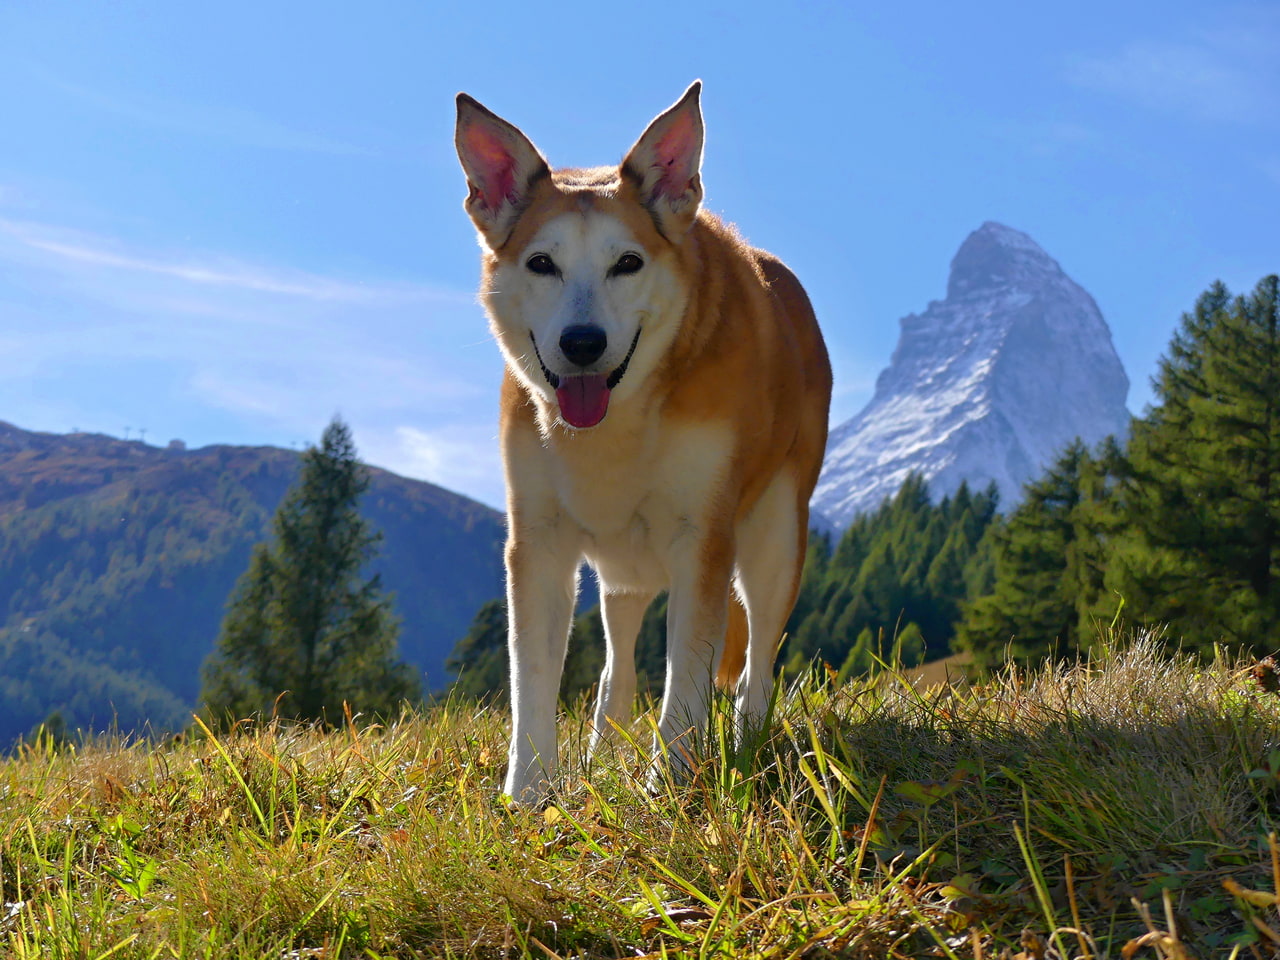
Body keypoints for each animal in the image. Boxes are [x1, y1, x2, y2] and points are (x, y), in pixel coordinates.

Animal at [455, 84, 834, 803]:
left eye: (626, 263)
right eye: (541, 264)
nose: (582, 343)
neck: (618, 422)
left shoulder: (703, 536)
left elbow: (686, 679)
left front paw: (673, 783)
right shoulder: (538, 540)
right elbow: (533, 679)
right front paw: (528, 794)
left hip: (775, 534)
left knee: (757, 661)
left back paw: (746, 741)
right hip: (621, 570)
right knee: (617, 664)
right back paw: (605, 748)